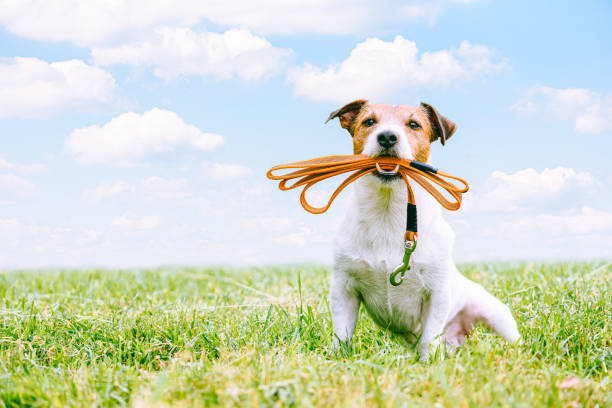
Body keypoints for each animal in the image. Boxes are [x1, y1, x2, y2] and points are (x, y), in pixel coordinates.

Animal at [328, 100, 520, 362]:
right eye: (369, 121)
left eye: (414, 124)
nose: (387, 136)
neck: (388, 212)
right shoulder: (343, 287)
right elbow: (342, 332)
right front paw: (337, 358)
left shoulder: (437, 293)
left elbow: (430, 336)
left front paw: (429, 363)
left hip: (495, 314)